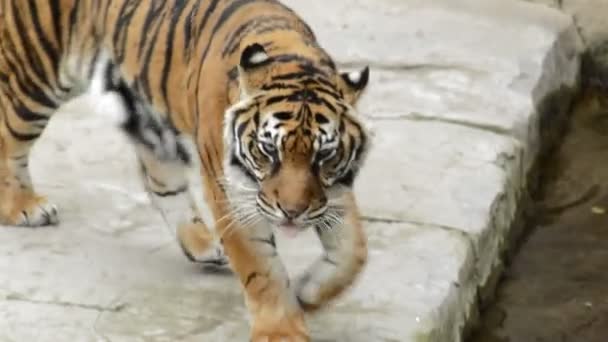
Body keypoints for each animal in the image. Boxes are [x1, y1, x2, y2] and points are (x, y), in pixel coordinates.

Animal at [0, 0, 370, 340]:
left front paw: (308, 292)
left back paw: (202, 244)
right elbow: (263, 271)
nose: (292, 213)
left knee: (160, 181)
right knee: (9, 137)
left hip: (148, 119)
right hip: (36, 78)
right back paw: (24, 206)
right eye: (268, 151)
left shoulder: (333, 191)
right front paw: (281, 331)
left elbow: (352, 254)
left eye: (324, 156)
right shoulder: (234, 199)